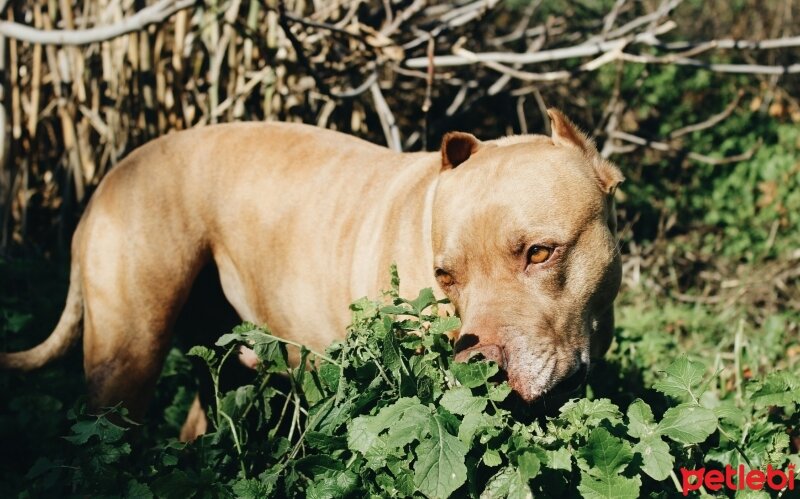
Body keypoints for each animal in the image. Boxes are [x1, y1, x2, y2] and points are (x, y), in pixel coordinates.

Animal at [0, 109, 624, 434]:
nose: (483, 366)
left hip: (219, 367)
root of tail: (107, 180)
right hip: (125, 363)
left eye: (539, 253)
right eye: (447, 277)